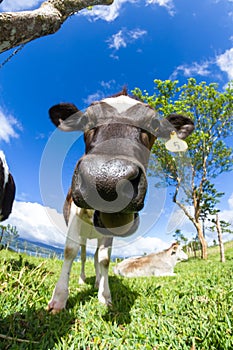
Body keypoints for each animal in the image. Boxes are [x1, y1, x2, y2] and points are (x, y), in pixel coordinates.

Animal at [46, 89, 194, 314]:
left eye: (154, 124)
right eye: (87, 119)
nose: (107, 179)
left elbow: (104, 259)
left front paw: (104, 295)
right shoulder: (74, 215)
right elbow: (70, 251)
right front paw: (59, 298)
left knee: (96, 256)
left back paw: (97, 281)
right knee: (82, 254)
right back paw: (82, 279)